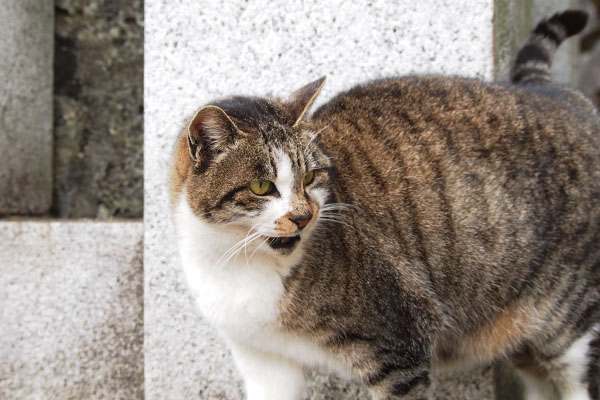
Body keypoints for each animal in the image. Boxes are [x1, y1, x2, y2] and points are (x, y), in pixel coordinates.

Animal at [170, 9, 600, 400]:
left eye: (310, 178)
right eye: (262, 186)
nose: (304, 216)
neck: (235, 260)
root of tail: (562, 94)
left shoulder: (399, 344)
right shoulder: (262, 359)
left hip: (573, 328)